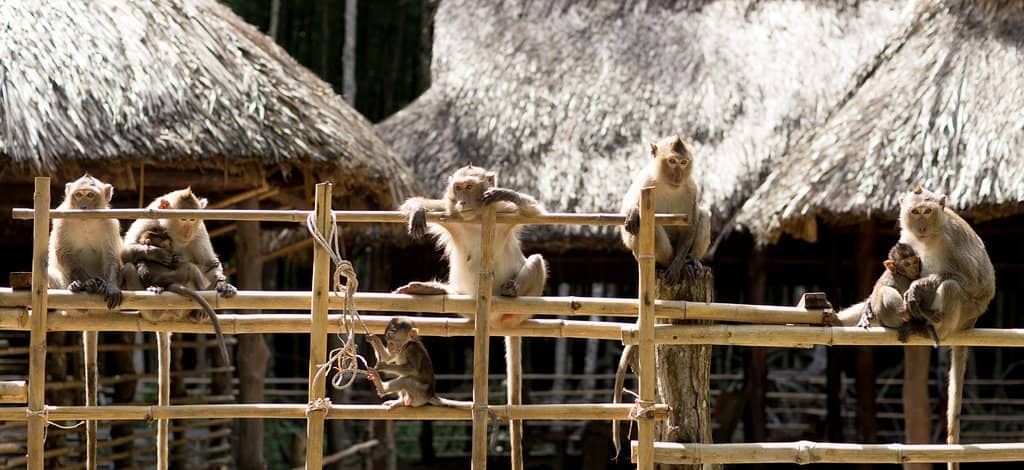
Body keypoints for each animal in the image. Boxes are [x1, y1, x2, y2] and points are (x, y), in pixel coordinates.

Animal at [123, 226, 230, 364]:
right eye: (167, 244)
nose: (172, 248)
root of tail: (169, 284)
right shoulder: (168, 260)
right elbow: (179, 263)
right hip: (178, 278)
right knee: (190, 267)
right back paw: (207, 287)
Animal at [392, 164, 546, 467]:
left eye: (469, 187)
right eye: (458, 188)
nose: (462, 201)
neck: (475, 219)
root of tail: (498, 323)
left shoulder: (504, 215)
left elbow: (535, 211)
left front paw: (502, 191)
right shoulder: (452, 216)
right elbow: (424, 206)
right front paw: (417, 208)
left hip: (522, 306)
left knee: (535, 260)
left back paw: (511, 291)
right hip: (469, 305)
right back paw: (431, 289)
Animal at [620, 134, 711, 285]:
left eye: (684, 162)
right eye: (672, 161)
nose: (678, 176)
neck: (667, 185)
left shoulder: (692, 188)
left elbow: (689, 227)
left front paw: (677, 265)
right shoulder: (645, 179)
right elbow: (625, 209)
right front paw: (633, 211)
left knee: (703, 215)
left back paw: (691, 260)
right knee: (645, 226)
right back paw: (668, 261)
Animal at [898, 186, 995, 469]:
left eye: (927, 211)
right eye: (915, 211)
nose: (920, 226)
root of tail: (972, 322)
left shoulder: (952, 241)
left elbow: (975, 281)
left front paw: (920, 285)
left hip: (968, 312)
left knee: (952, 287)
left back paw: (933, 328)